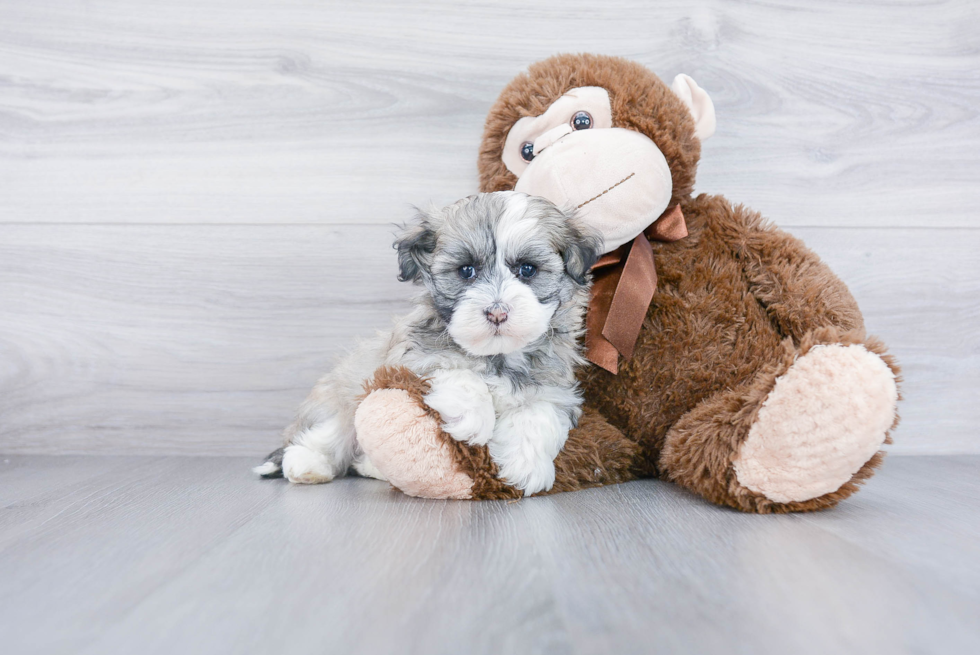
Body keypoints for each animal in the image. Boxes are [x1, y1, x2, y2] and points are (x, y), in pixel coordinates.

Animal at [253, 192, 600, 494]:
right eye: (466, 271)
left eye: (527, 269)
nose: (497, 312)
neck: (497, 355)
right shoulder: (409, 362)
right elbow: (460, 374)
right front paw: (474, 419)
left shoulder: (554, 387)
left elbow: (539, 414)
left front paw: (525, 466)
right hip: (345, 393)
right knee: (332, 431)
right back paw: (307, 463)